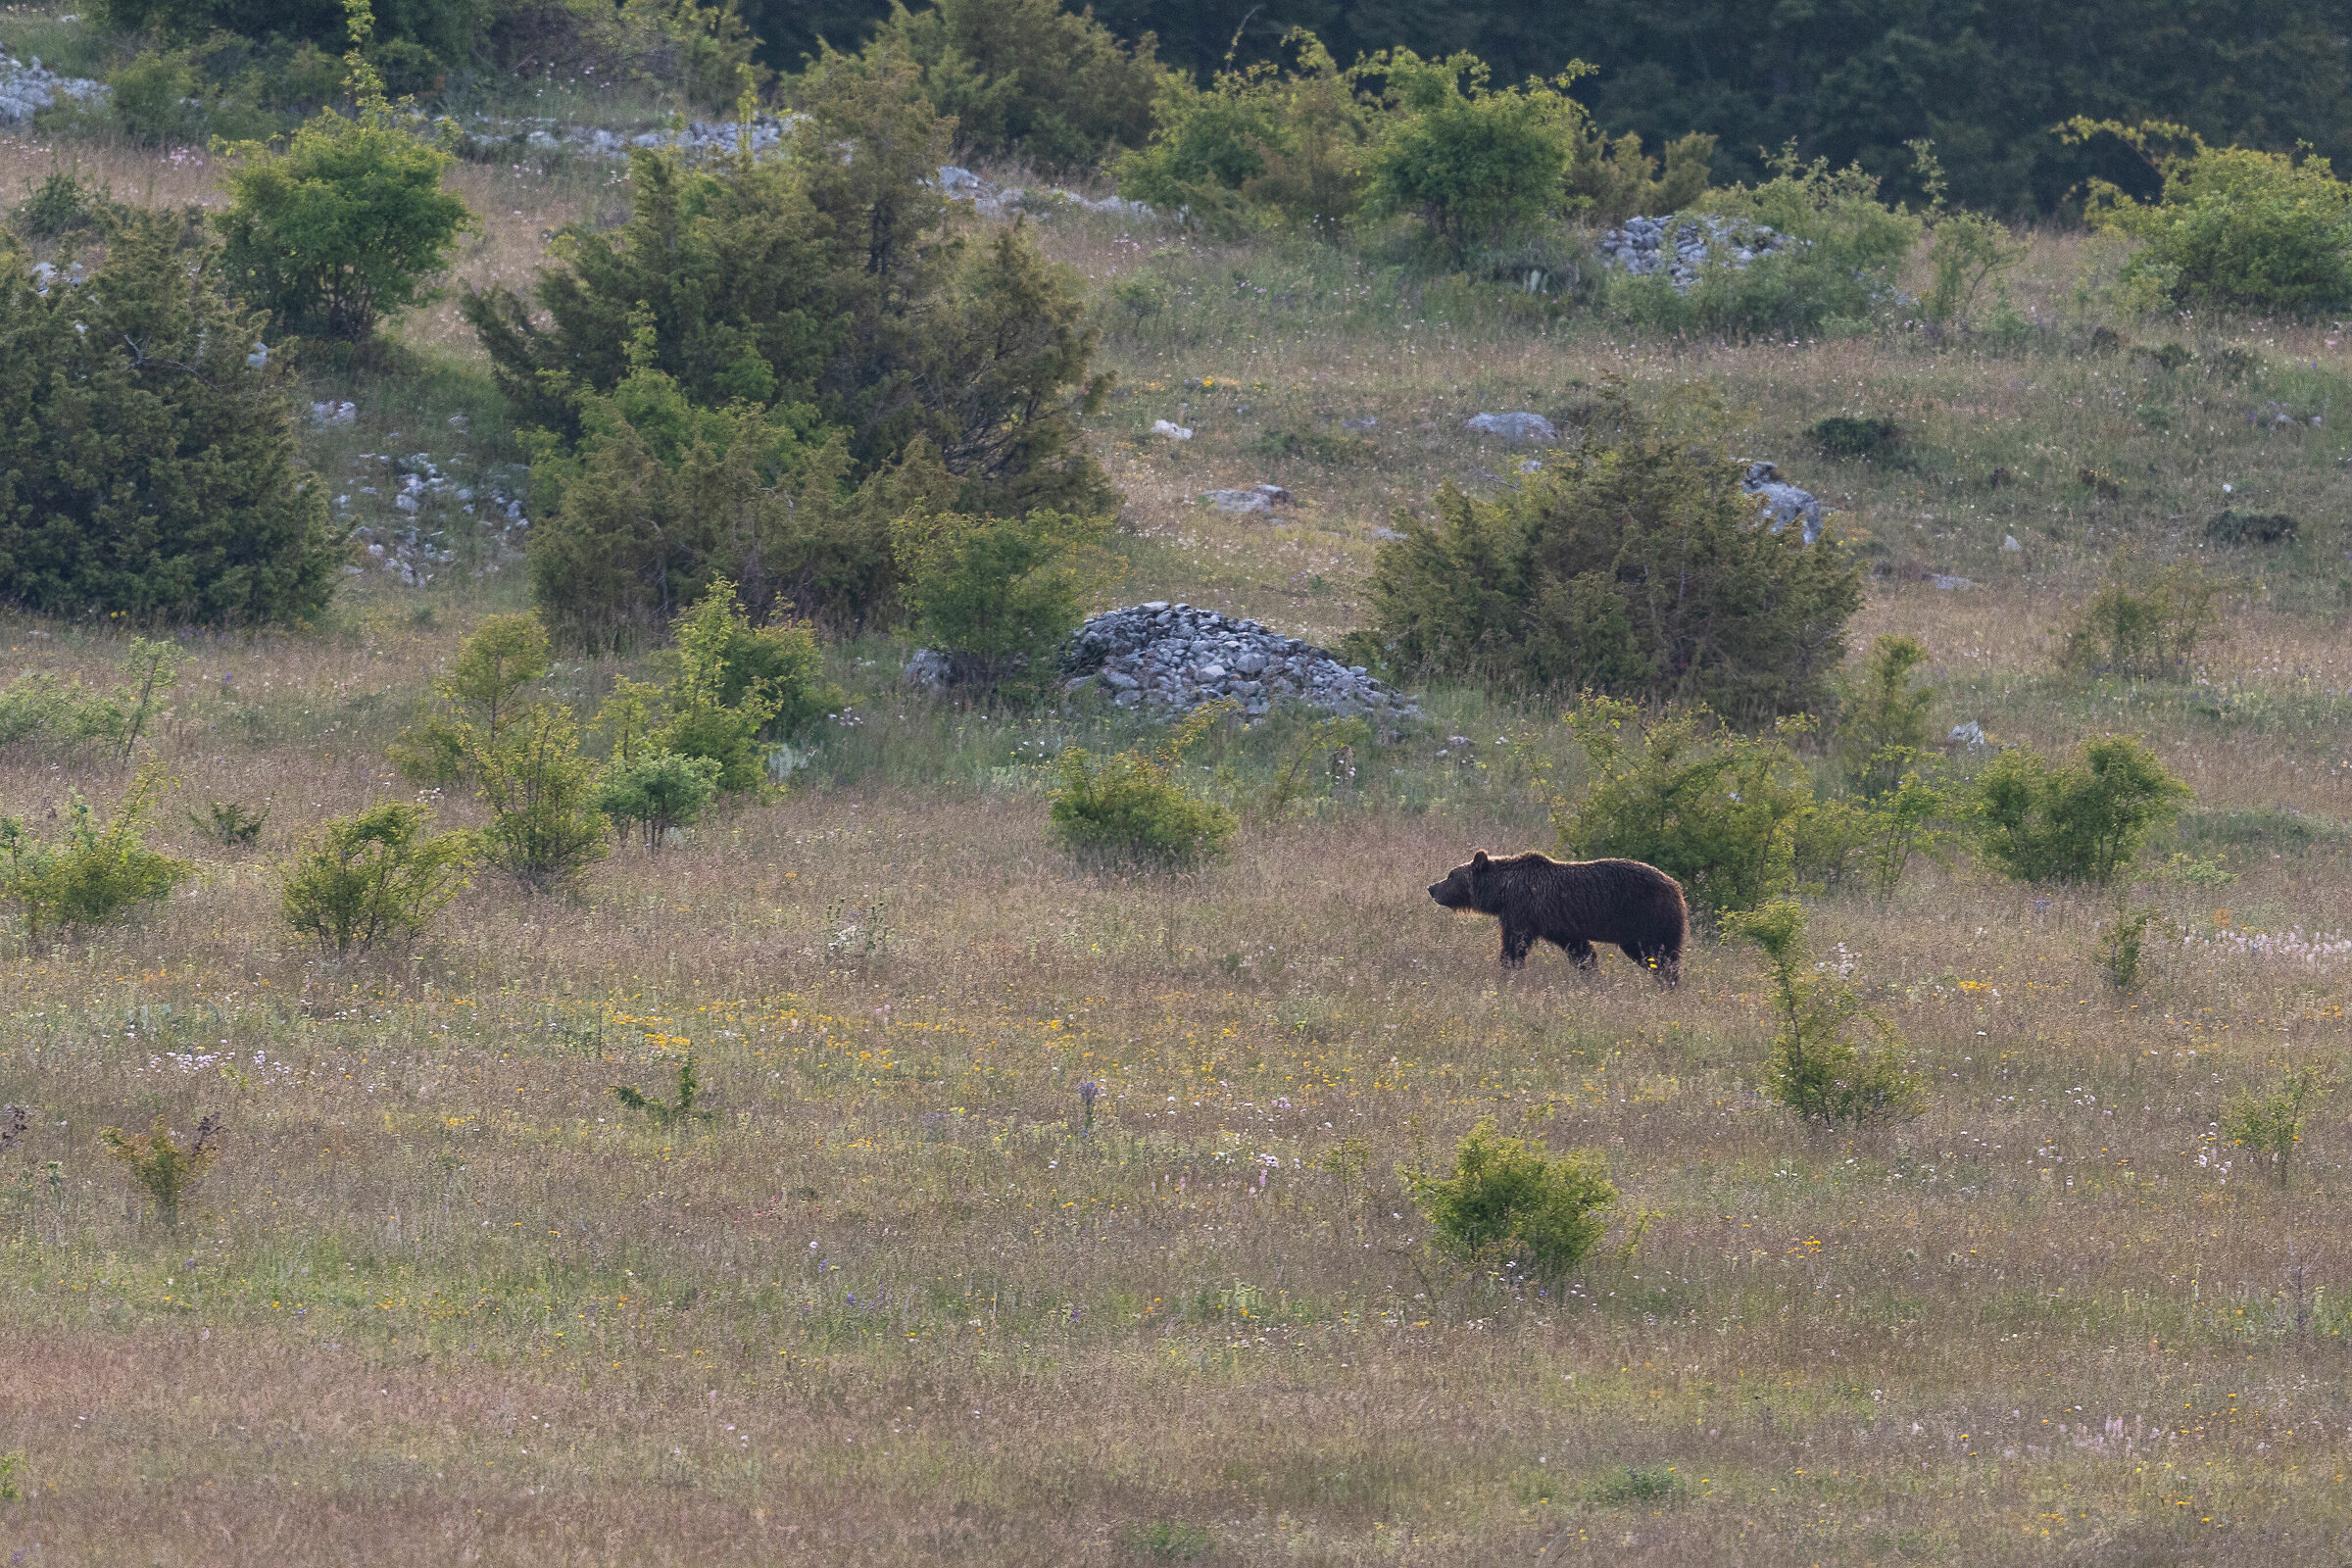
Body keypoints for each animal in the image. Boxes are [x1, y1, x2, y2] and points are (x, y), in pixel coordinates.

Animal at [1427, 850, 1686, 985]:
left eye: (1451, 875)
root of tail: (1676, 886)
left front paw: (1507, 971)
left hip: (1648, 917)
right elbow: (1580, 949)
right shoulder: (1559, 924)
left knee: (1661, 954)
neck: (1503, 891)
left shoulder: (1522, 912)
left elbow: (1513, 945)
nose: (1431, 887)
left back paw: (1668, 982)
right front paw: (1590, 972)